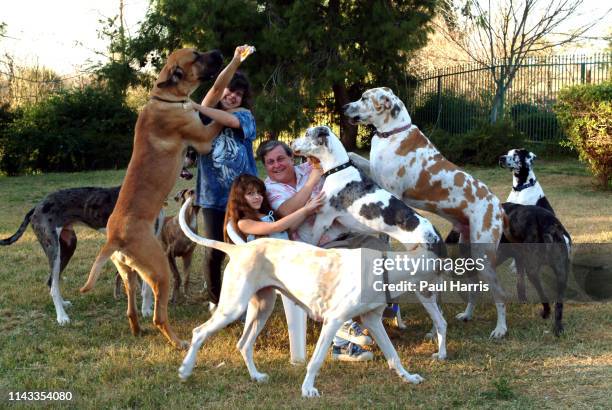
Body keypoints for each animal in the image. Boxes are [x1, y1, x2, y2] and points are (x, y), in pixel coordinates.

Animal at [80, 47, 255, 350]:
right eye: (196, 56)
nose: (217, 51)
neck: (166, 98)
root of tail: (115, 238)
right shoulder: (204, 137)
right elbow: (218, 104)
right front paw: (236, 98)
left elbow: (213, 95)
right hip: (160, 270)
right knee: (159, 317)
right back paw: (179, 342)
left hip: (129, 274)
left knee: (131, 309)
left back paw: (137, 331)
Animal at [177, 197, 444, 398]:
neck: (384, 268)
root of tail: (238, 248)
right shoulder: (333, 321)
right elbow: (315, 360)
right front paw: (307, 389)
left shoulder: (373, 321)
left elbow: (393, 356)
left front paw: (408, 377)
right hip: (233, 308)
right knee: (199, 332)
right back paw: (186, 370)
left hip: (261, 308)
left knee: (243, 344)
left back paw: (256, 376)